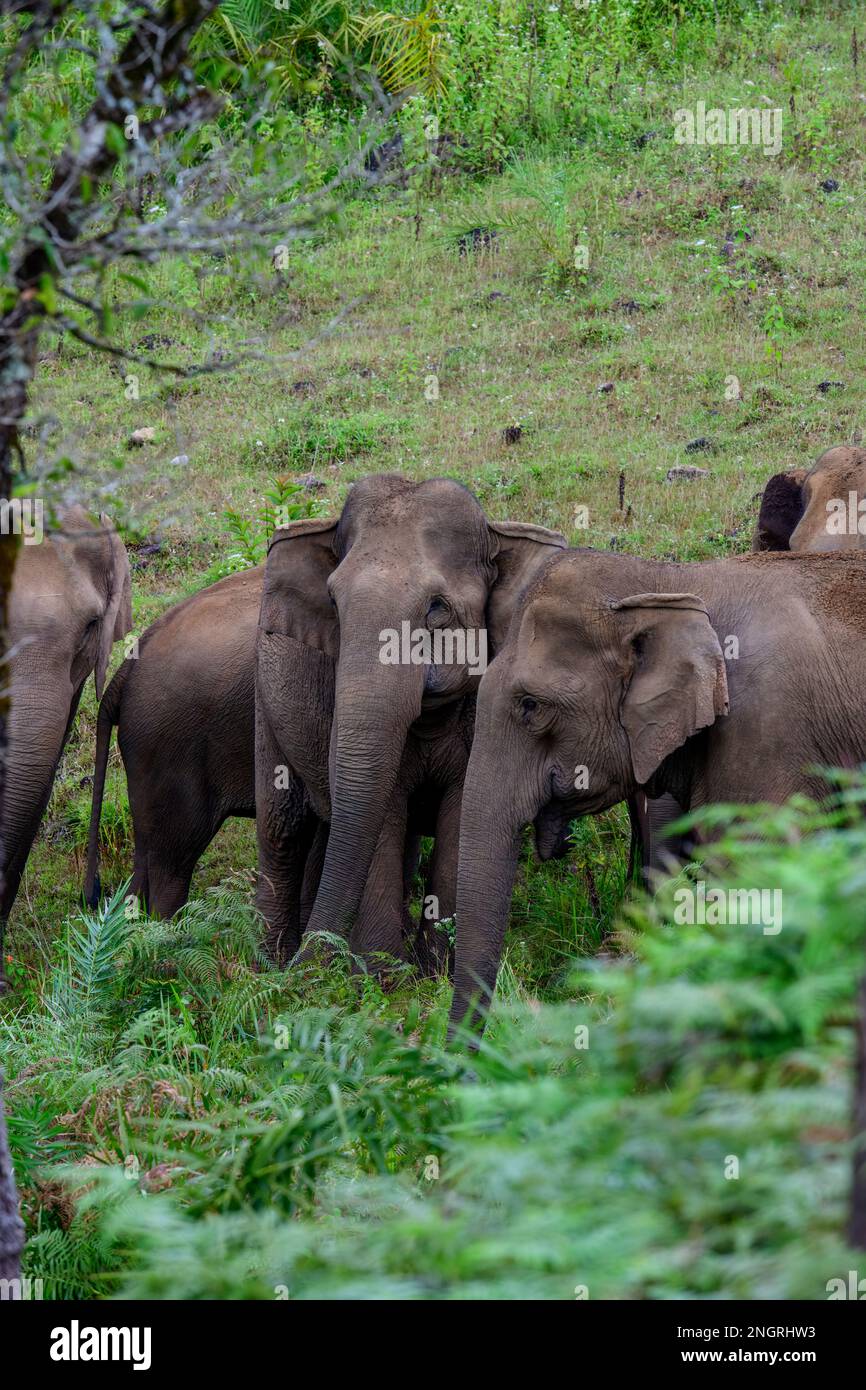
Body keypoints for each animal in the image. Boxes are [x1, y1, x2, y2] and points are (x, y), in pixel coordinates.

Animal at [255, 472, 569, 973]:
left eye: (436, 608)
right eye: (333, 603)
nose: (308, 966)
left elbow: (463, 808)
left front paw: (435, 970)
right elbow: (380, 804)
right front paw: (383, 975)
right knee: (280, 829)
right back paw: (267, 964)